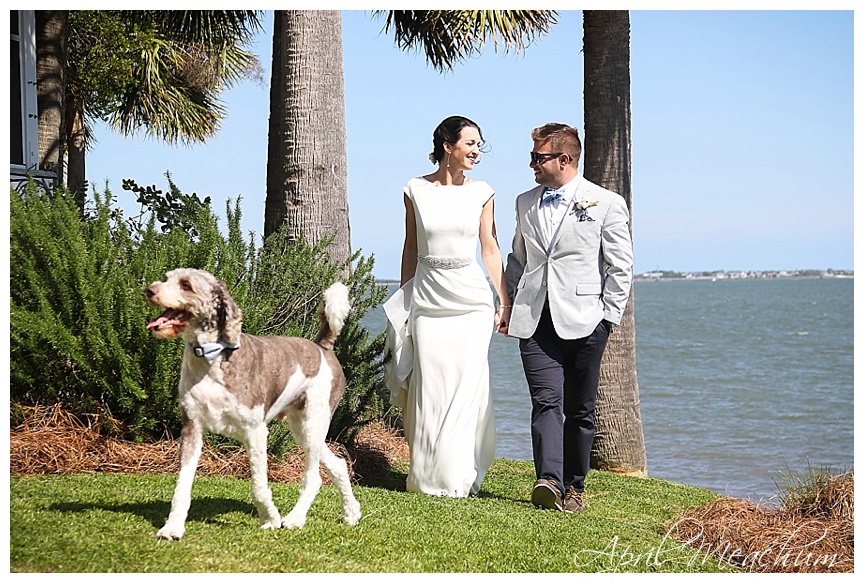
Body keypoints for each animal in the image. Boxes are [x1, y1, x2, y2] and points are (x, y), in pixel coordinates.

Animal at [145, 266, 362, 540]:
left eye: (186, 285)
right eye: (166, 278)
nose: (149, 290)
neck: (212, 360)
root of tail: (322, 345)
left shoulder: (255, 431)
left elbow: (259, 486)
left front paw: (270, 518)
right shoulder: (191, 428)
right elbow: (182, 485)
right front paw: (173, 526)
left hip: (314, 423)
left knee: (313, 478)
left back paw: (295, 518)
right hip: (302, 428)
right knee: (339, 465)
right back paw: (351, 512)